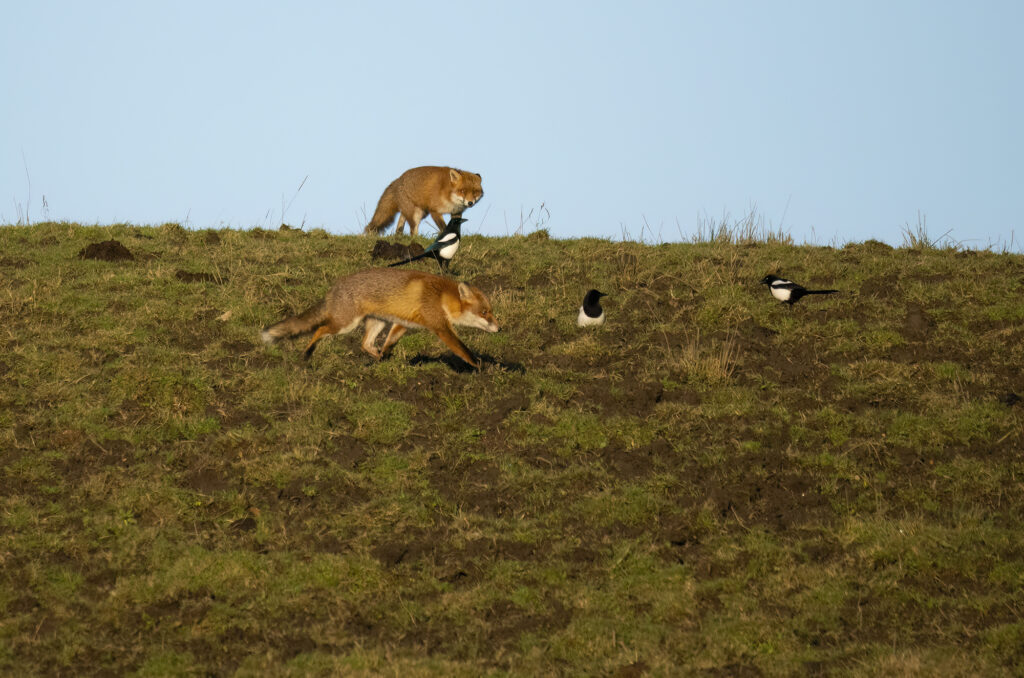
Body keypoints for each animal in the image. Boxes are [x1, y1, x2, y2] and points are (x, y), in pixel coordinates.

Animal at [260, 266, 499, 372]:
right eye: (485, 313)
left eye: (491, 311)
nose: (499, 328)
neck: (441, 297)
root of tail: (334, 288)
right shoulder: (441, 328)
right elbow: (463, 350)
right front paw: (481, 366)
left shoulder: (402, 324)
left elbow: (389, 343)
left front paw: (386, 357)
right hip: (345, 325)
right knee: (320, 330)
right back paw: (307, 354)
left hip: (378, 322)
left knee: (365, 344)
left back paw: (377, 358)